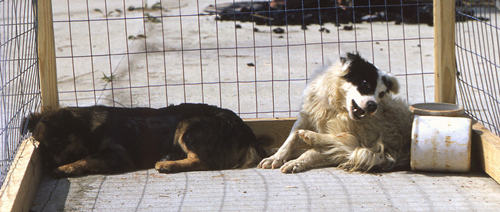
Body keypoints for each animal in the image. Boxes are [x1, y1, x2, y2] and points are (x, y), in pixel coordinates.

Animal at [22, 103, 270, 177]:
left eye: (57, 143)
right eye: (41, 148)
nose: (45, 165)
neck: (90, 129)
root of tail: (245, 131)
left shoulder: (117, 155)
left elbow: (88, 158)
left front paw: (65, 168)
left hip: (188, 125)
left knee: (204, 161)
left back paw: (168, 165)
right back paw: (170, 158)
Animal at [258, 52, 414, 173]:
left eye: (381, 94)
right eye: (365, 84)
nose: (373, 106)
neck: (336, 107)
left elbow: (319, 150)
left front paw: (296, 162)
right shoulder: (305, 116)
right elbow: (291, 138)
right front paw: (276, 157)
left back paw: (311, 137)